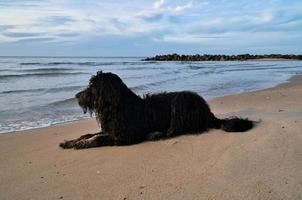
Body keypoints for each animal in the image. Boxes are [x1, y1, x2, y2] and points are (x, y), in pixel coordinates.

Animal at [60, 71, 254, 148]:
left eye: (93, 87)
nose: (76, 96)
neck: (117, 106)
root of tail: (207, 110)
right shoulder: (111, 129)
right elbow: (89, 134)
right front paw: (71, 141)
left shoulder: (124, 136)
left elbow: (98, 138)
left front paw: (80, 144)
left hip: (181, 101)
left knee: (177, 130)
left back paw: (156, 134)